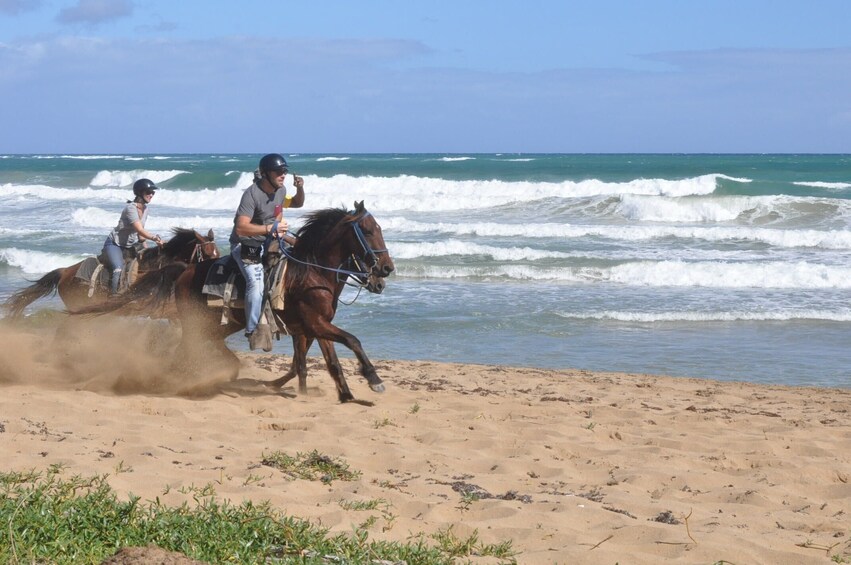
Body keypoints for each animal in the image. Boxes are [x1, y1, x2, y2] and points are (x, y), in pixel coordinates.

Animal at [78, 203, 394, 400]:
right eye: (368, 231)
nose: (386, 269)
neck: (311, 273)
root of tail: (184, 271)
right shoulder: (314, 324)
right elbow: (352, 341)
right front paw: (374, 380)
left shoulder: (315, 326)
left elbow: (323, 363)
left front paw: (345, 394)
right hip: (197, 322)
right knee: (187, 349)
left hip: (220, 324)